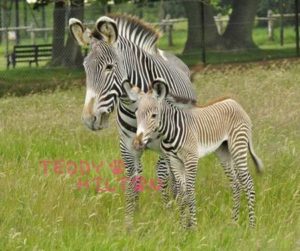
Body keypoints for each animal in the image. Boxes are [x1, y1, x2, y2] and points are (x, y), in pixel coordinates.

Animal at [69, 15, 197, 227]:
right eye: (86, 68)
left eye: (109, 67)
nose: (89, 119)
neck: (135, 104)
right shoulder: (127, 145)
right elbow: (132, 179)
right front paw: (131, 221)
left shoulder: (165, 144)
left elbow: (163, 176)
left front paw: (171, 214)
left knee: (172, 173)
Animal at [123, 79, 264, 228]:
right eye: (136, 115)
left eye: (154, 115)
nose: (137, 143)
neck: (171, 131)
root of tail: (234, 102)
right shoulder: (175, 161)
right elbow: (182, 193)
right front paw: (183, 226)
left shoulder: (191, 159)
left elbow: (189, 192)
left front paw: (193, 227)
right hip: (223, 151)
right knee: (236, 184)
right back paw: (234, 223)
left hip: (238, 145)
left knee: (248, 183)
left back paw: (251, 225)